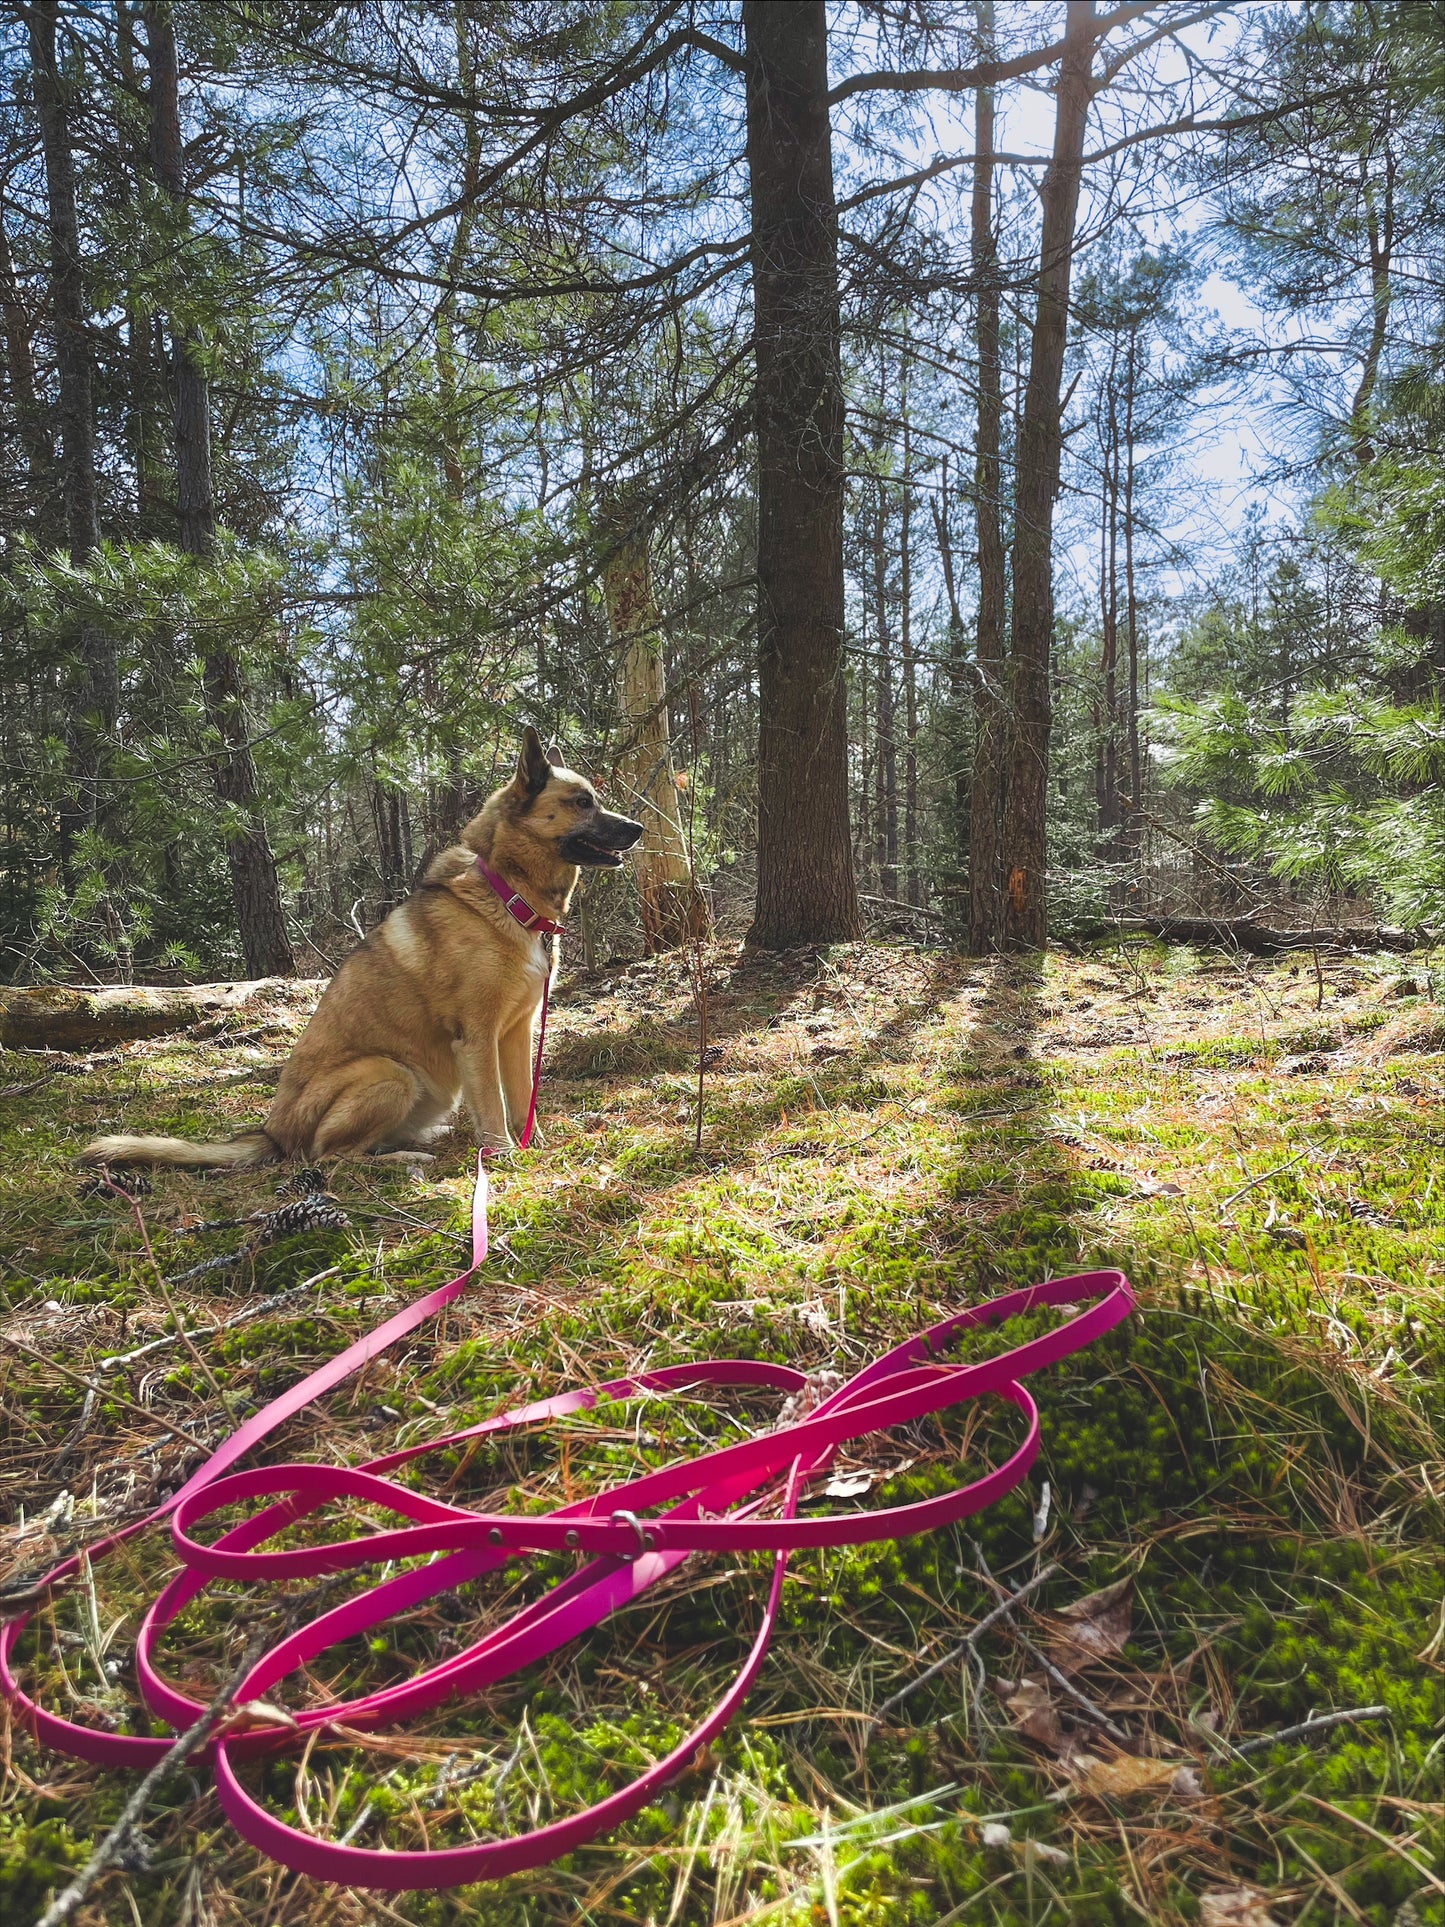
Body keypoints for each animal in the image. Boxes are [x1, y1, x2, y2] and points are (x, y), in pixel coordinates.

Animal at [81, 732, 643, 1156]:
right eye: (582, 802)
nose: (638, 827)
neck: (507, 894)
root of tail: (273, 1134)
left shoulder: (517, 1034)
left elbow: (522, 1096)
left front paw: (534, 1145)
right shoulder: (478, 1038)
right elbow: (493, 1105)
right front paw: (502, 1154)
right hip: (388, 1073)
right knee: (328, 1156)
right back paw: (401, 1159)